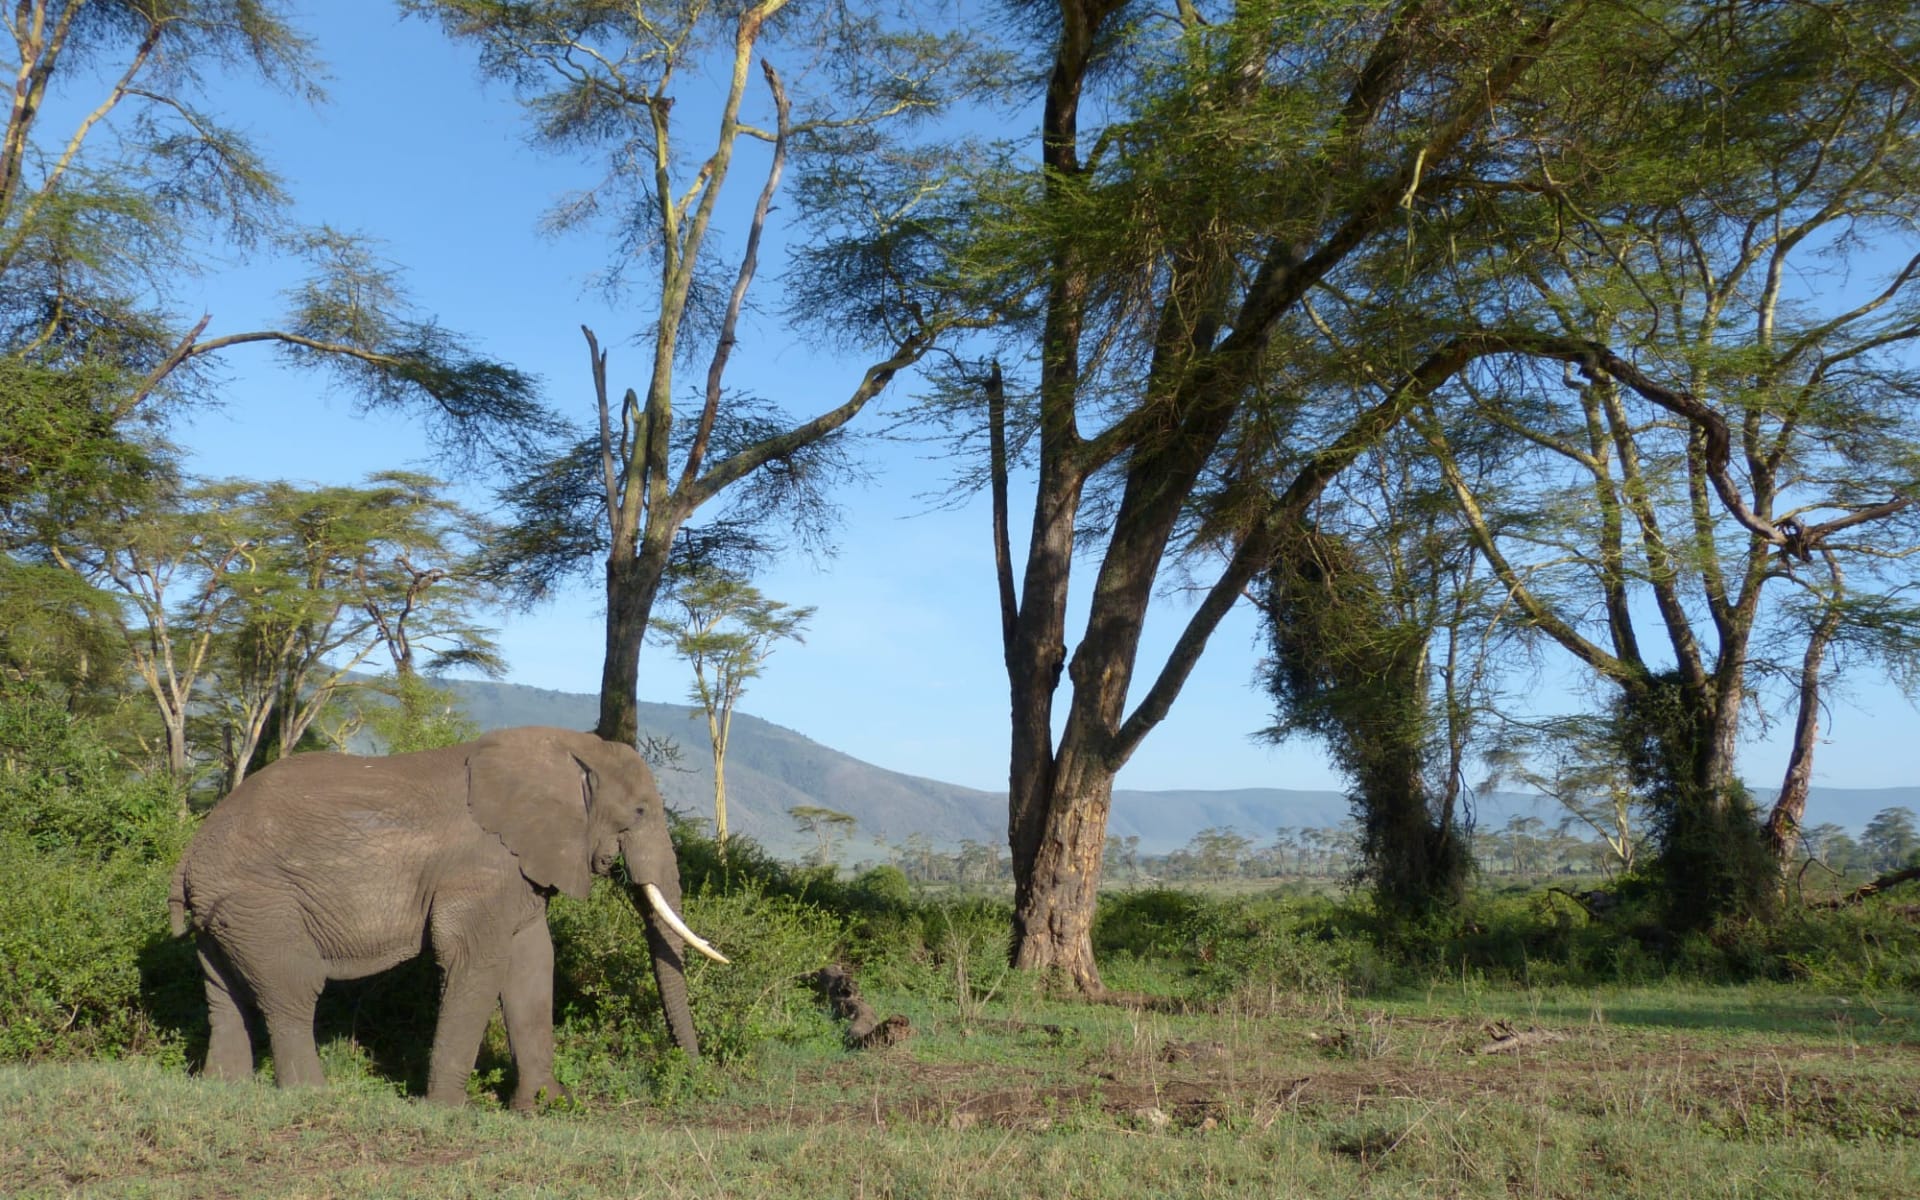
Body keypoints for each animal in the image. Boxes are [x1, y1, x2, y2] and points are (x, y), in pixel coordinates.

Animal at [168, 721, 721, 1105]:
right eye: (641, 812)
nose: (692, 1071)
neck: (563, 747)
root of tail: (188, 857)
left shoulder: (517, 871)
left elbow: (532, 963)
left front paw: (545, 1105)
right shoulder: (481, 869)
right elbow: (474, 962)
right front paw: (449, 1110)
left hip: (226, 914)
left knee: (224, 991)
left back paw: (225, 1090)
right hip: (261, 902)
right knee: (293, 987)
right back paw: (312, 1095)